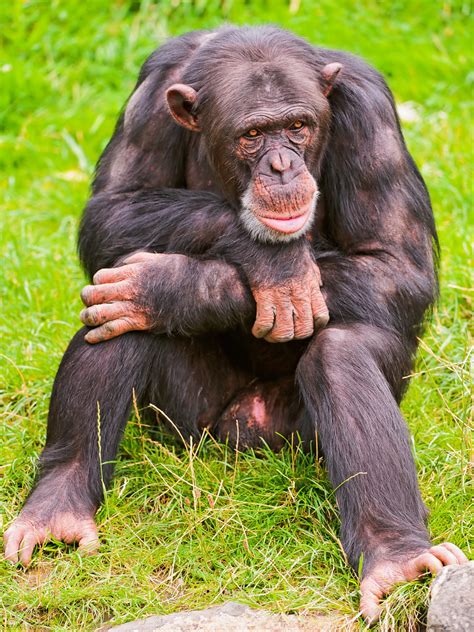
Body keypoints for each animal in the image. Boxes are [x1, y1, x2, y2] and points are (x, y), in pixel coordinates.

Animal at [5, 25, 468, 624]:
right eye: (252, 135)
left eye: (297, 127)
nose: (281, 167)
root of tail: (240, 440)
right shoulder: (151, 95)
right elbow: (111, 210)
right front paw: (264, 262)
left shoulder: (370, 114)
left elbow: (396, 266)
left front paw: (171, 284)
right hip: (185, 423)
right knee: (115, 309)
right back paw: (57, 504)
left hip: (287, 437)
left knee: (340, 352)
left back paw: (396, 559)